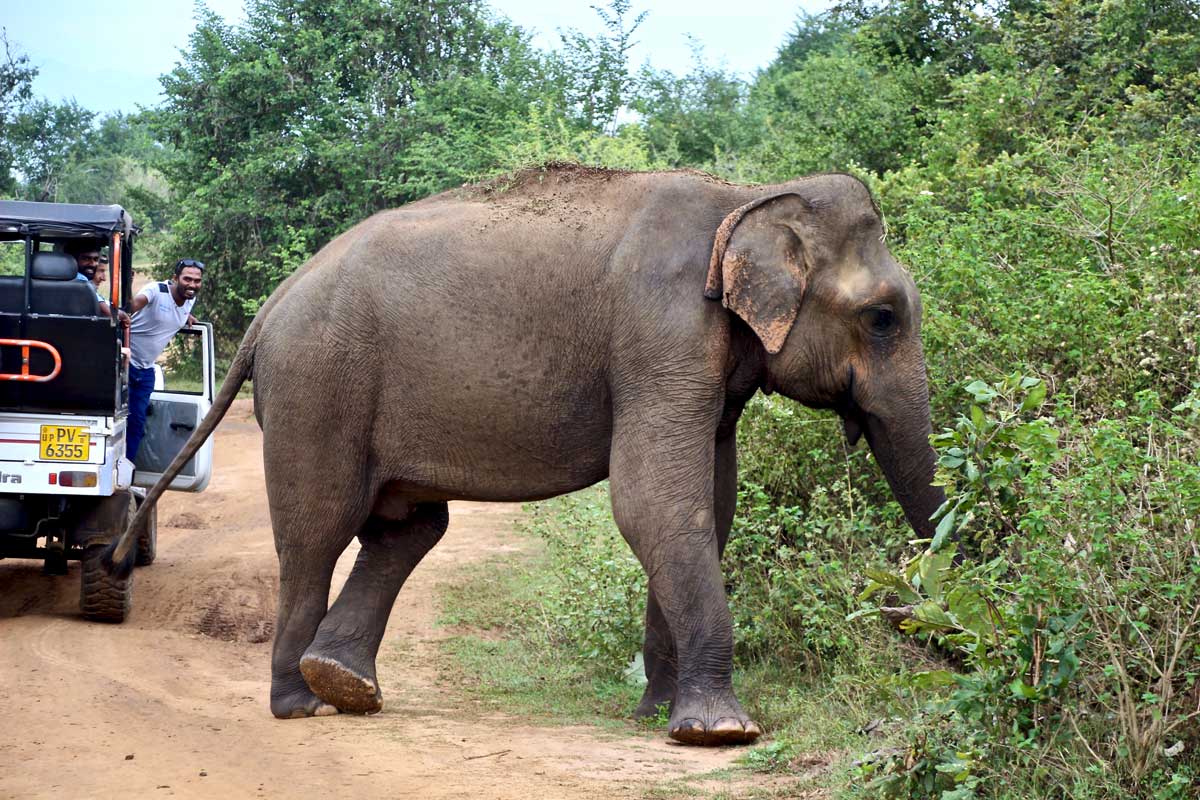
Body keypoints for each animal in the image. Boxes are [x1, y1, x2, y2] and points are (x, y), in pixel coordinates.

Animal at [117, 163, 950, 743]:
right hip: (318, 383)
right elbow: (652, 503)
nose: (902, 606)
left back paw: (345, 687)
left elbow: (705, 507)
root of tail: (271, 307)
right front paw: (721, 732)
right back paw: (299, 705)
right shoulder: (661, 332)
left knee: (408, 529)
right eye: (882, 317)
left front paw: (656, 717)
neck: (745, 197)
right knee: (318, 531)